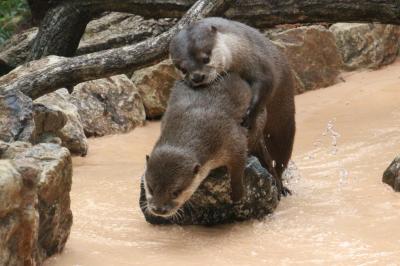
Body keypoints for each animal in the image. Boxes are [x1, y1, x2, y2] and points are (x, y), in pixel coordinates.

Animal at [144, 74, 268, 217]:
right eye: (150, 188)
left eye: (175, 192)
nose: (158, 209)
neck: (192, 120)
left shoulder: (233, 139)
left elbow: (238, 168)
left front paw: (237, 195)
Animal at [167, 16, 296, 195]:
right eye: (183, 68)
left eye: (205, 58)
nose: (197, 77)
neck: (236, 49)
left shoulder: (257, 60)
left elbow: (265, 82)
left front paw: (248, 116)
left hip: (284, 122)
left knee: (281, 155)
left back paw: (281, 185)